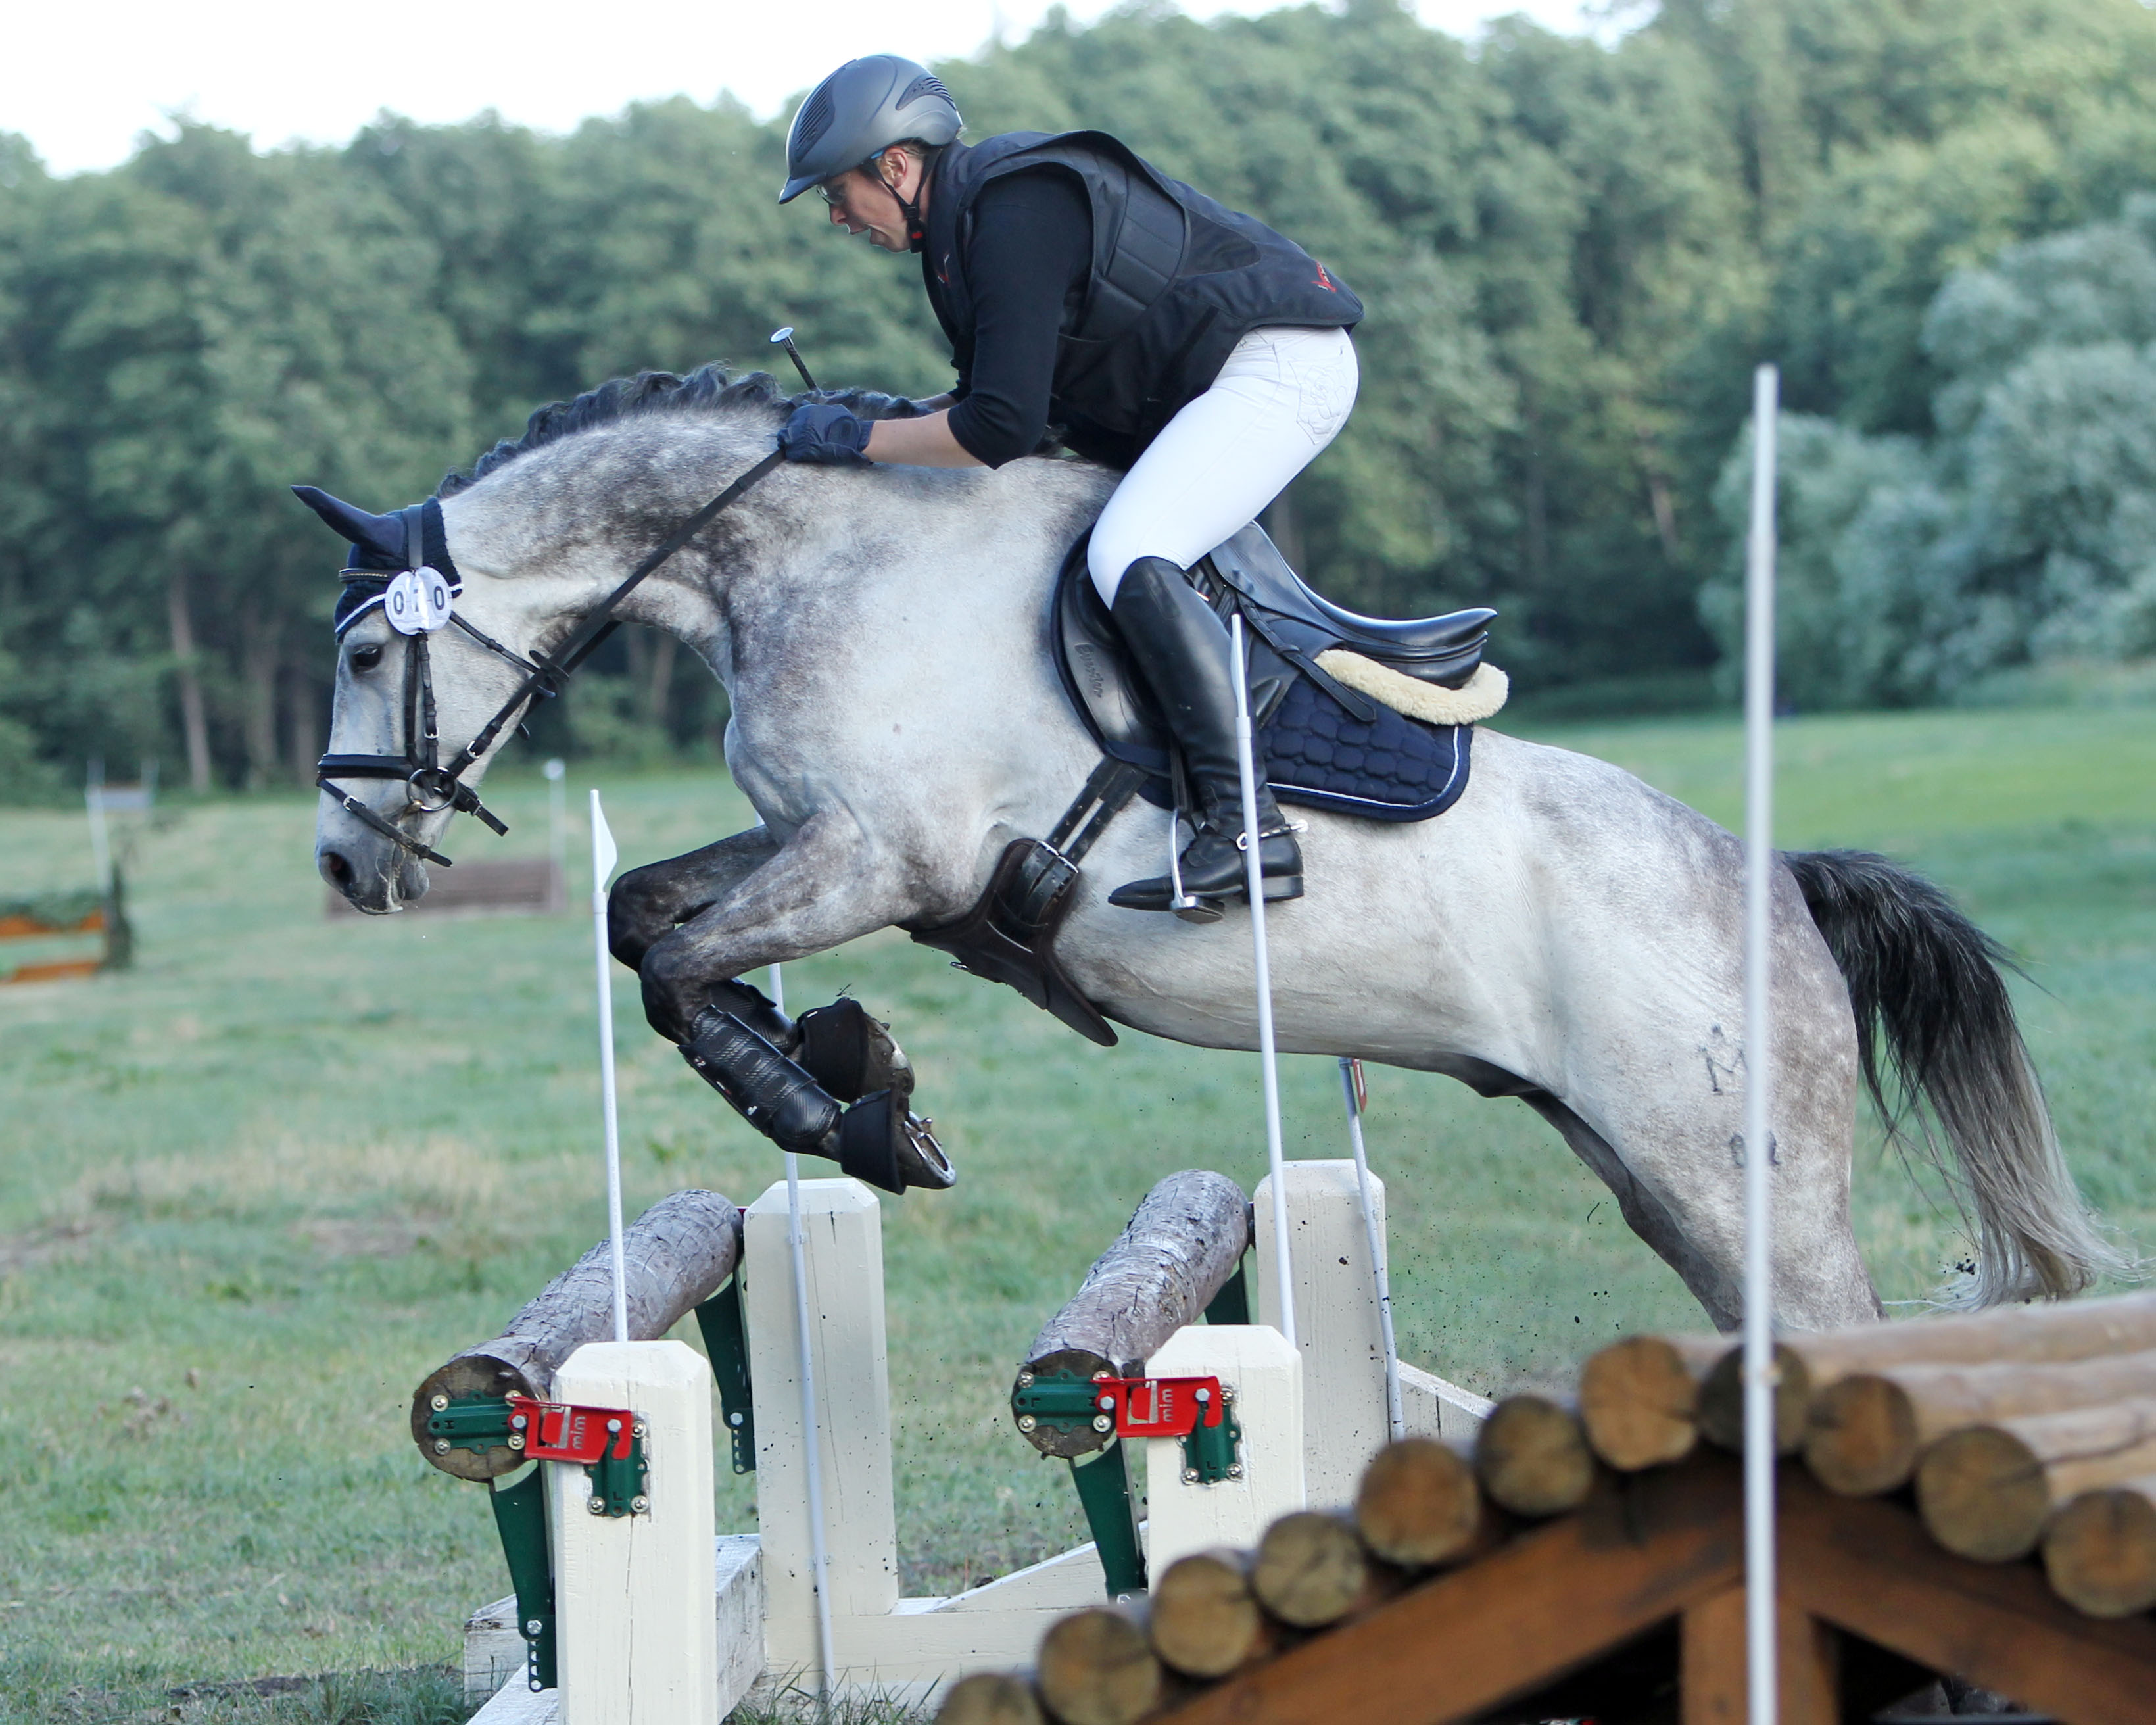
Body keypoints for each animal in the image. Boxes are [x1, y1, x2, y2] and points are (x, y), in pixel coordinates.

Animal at [312, 366, 2113, 1336]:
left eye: (361, 650)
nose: (340, 866)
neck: (803, 560)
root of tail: (1778, 884)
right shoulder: (805, 839)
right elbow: (644, 917)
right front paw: (849, 1067)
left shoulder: (880, 861)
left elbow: (681, 959)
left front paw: (850, 1108)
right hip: (1659, 1180)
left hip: (1745, 1179)